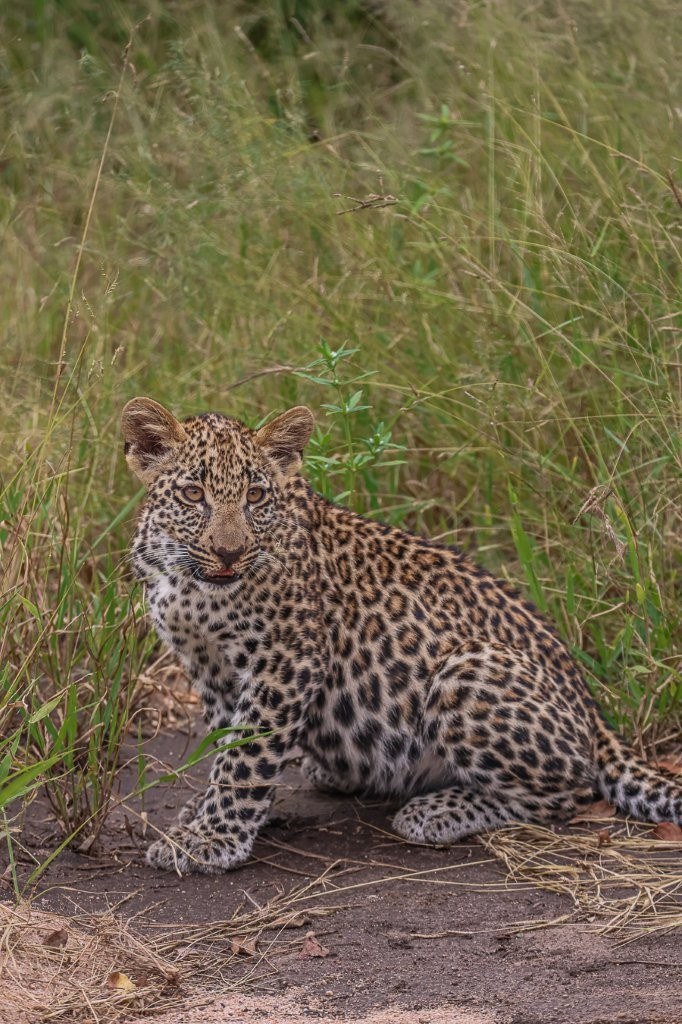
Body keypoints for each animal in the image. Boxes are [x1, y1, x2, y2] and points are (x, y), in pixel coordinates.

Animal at [121, 396, 682, 874]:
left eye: (255, 496)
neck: (185, 581)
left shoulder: (287, 660)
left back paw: (435, 812)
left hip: (464, 671)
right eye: (194, 494)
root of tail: (592, 709)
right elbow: (224, 739)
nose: (229, 553)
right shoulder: (210, 666)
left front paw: (211, 839)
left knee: (569, 791)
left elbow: (246, 756)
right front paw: (201, 813)